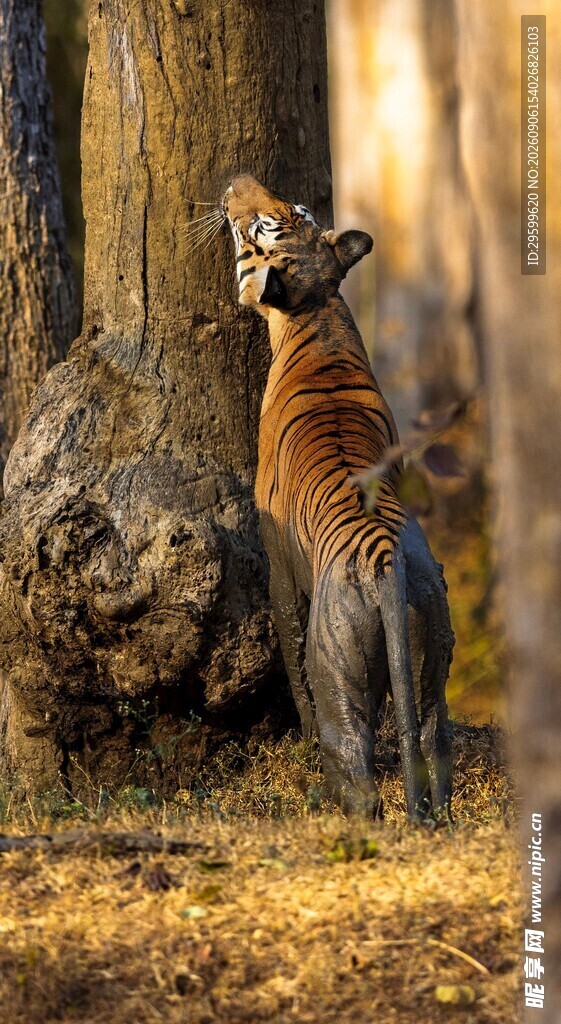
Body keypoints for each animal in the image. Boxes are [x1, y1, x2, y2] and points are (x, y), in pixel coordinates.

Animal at [222, 174, 454, 821]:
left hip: (339, 667)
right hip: (432, 651)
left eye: (262, 228)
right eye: (299, 211)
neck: (315, 309)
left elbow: (289, 645)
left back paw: (327, 803)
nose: (237, 181)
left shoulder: (277, 560)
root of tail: (386, 563)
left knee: (355, 765)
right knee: (432, 743)